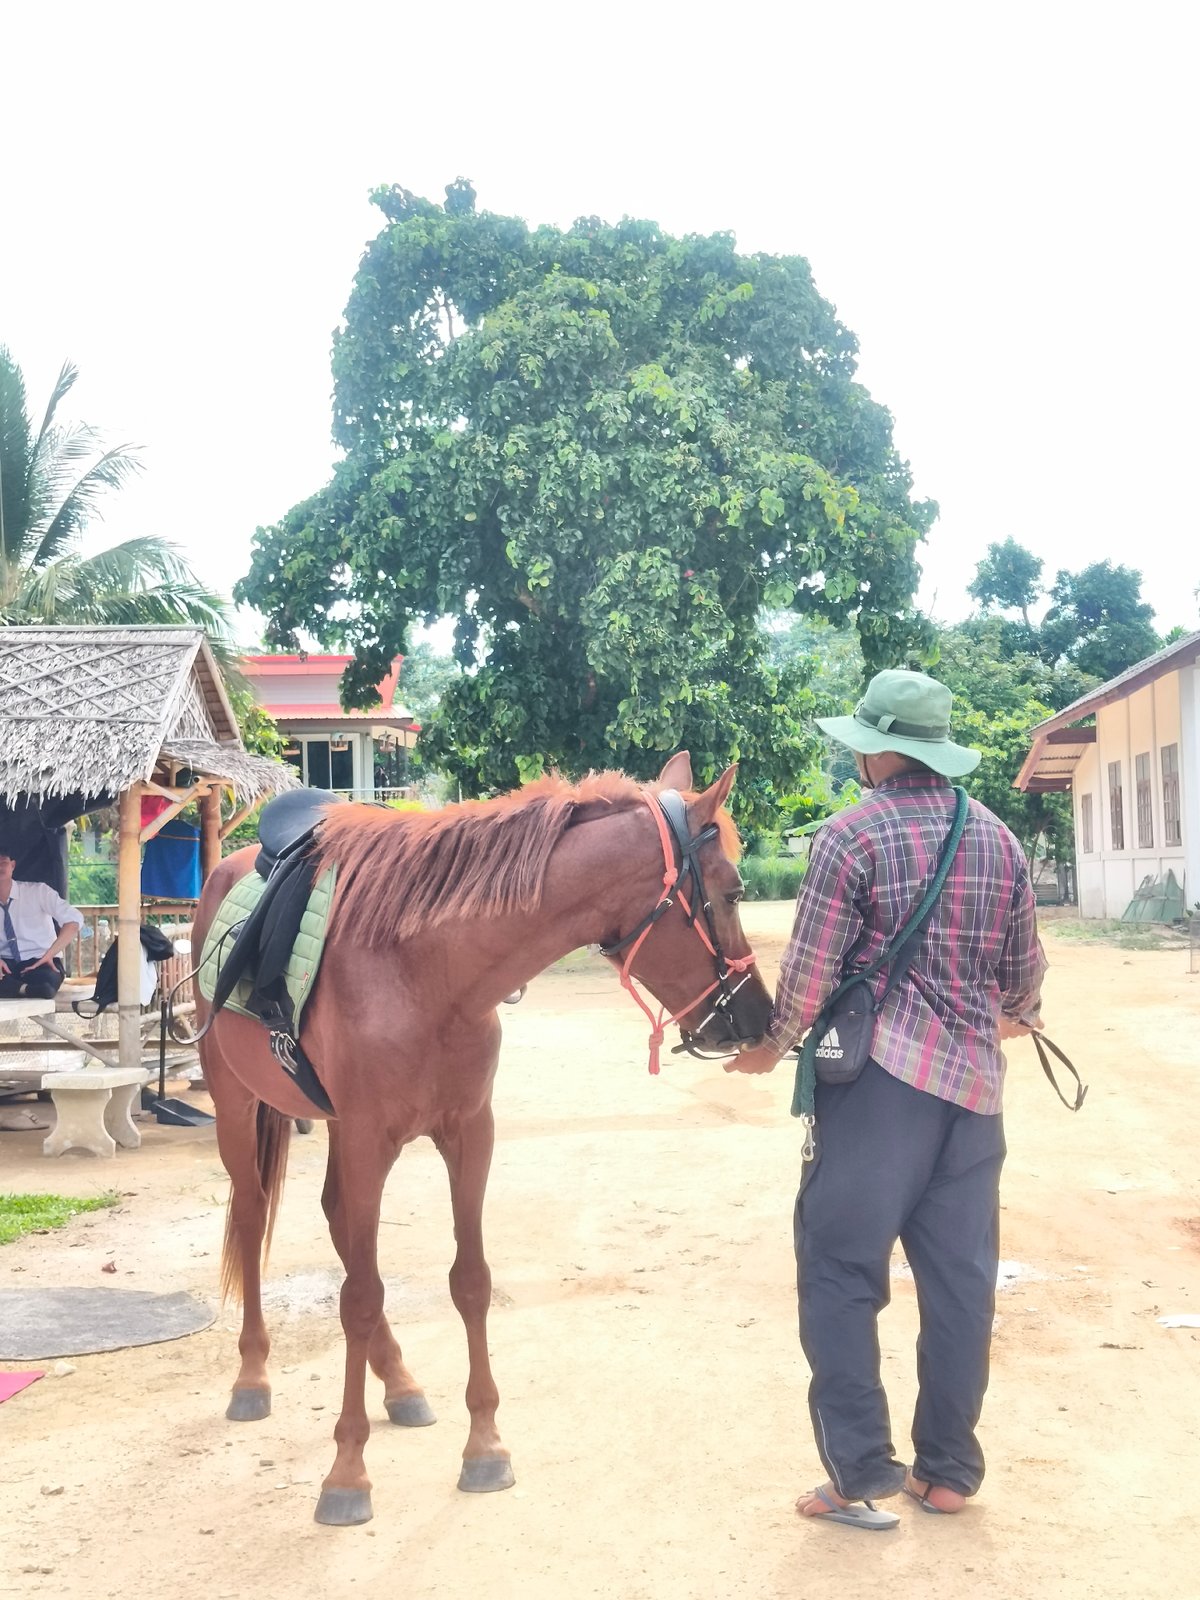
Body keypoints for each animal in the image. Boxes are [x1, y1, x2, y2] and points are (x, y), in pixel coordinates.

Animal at [192, 751, 773, 1526]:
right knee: (256, 1217)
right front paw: (347, 1473)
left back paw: (400, 1382)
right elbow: (358, 1296)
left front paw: (485, 1446)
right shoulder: (370, 1138)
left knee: (338, 1220)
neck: (428, 967)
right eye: (733, 892)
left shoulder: (469, 1134)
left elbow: (467, 1282)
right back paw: (253, 1375)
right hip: (237, 1104)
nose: (760, 1019)